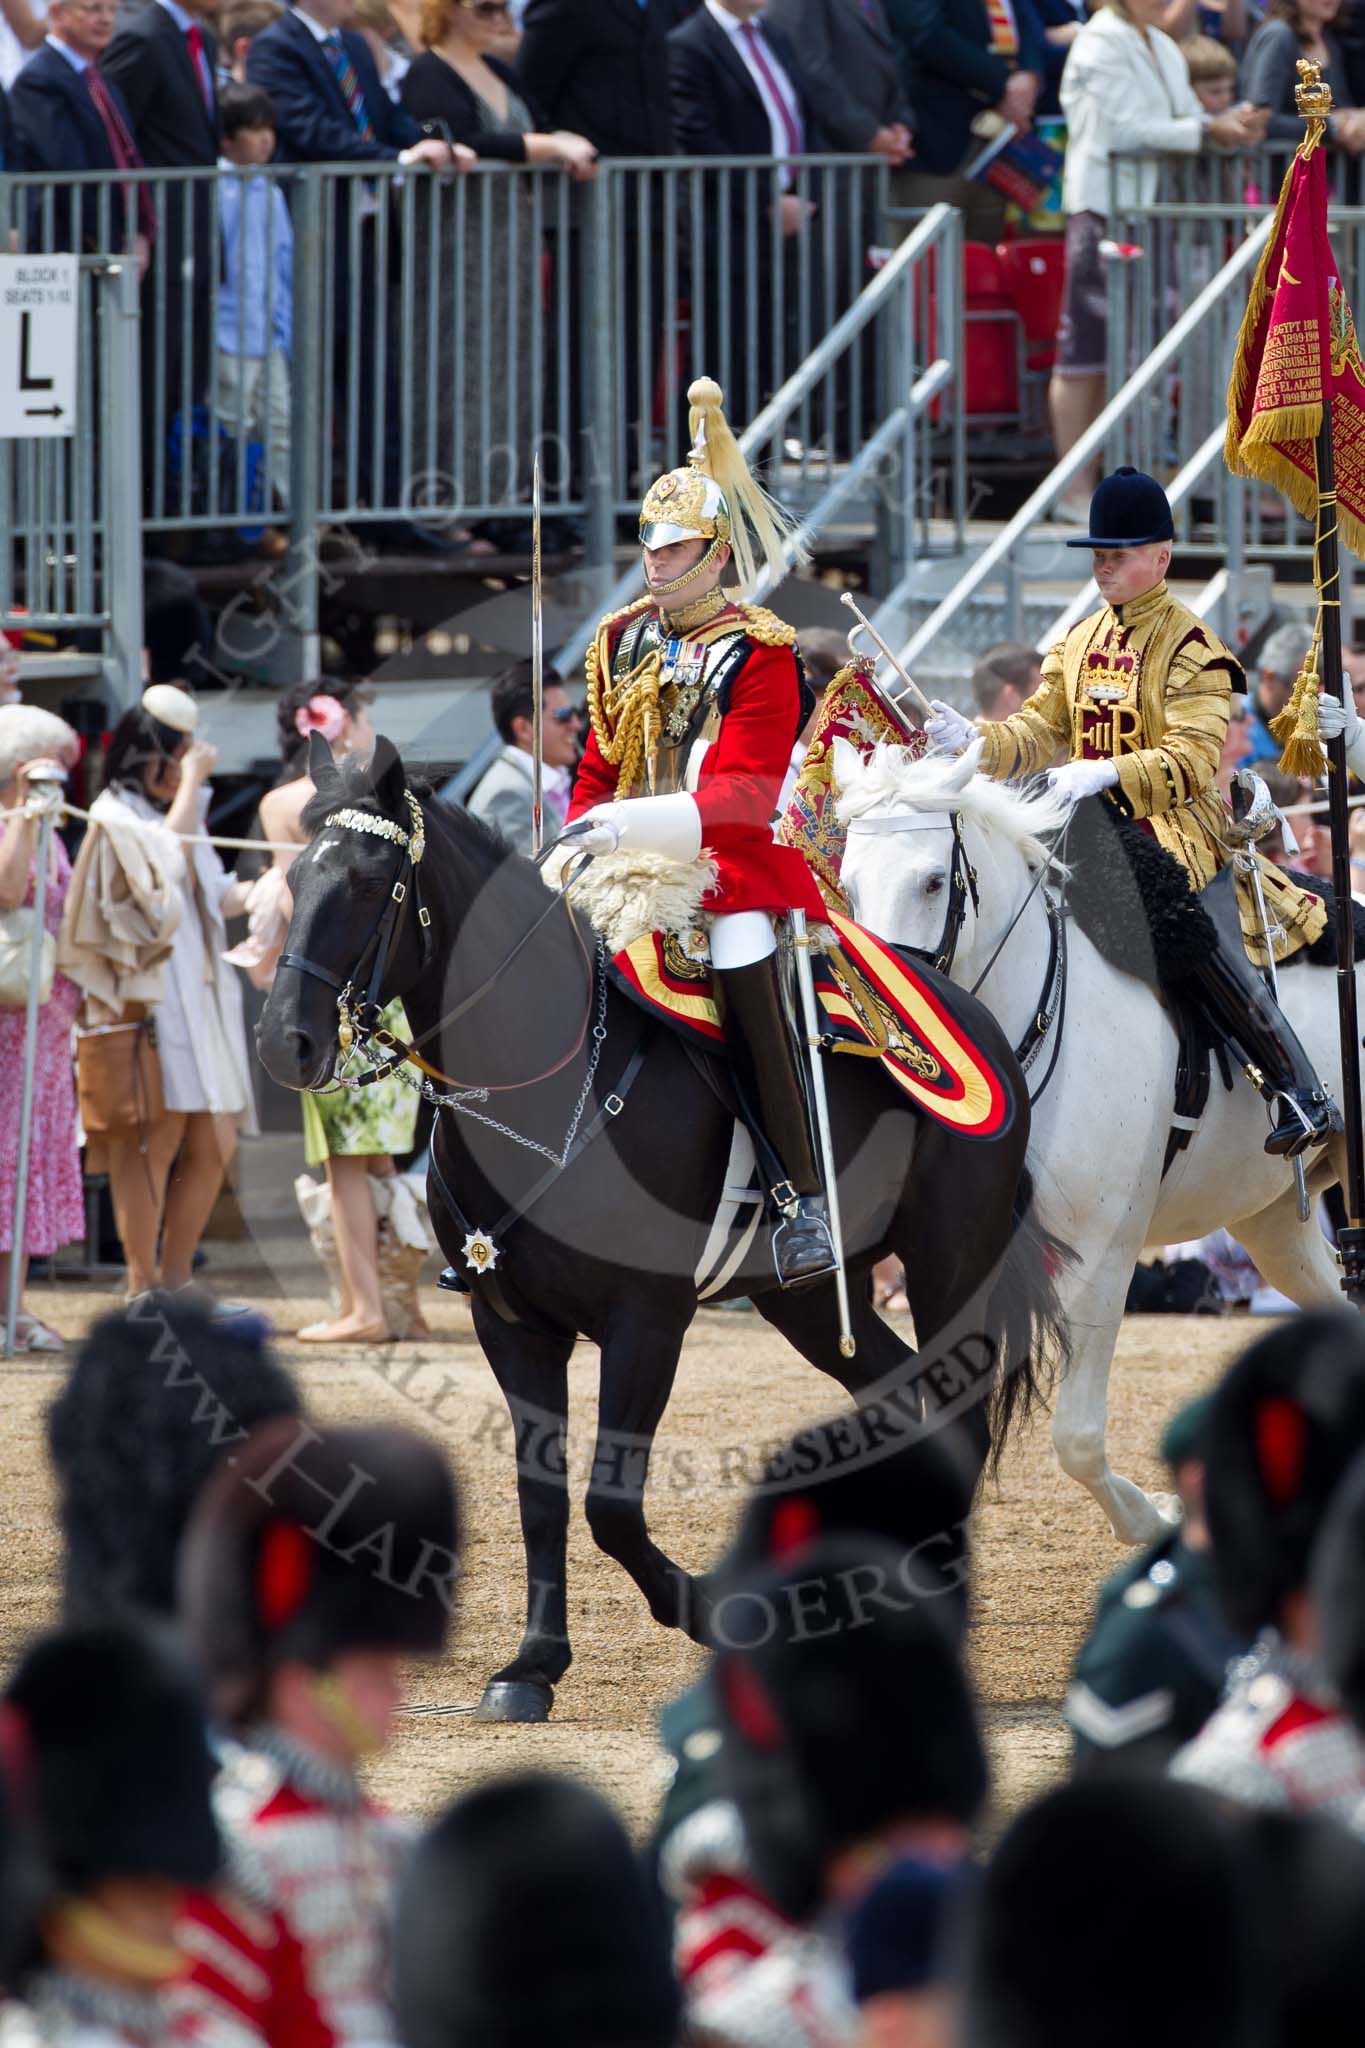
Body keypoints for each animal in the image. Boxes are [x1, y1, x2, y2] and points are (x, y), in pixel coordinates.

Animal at [255, 737, 1064, 1712]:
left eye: (371, 883)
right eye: (295, 875)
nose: (283, 1043)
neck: (547, 1079)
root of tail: (974, 1017)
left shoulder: (646, 1320)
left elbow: (609, 1503)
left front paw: (714, 1613)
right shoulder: (509, 1323)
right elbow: (541, 1496)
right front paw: (531, 1666)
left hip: (949, 1262)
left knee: (962, 1418)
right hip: (804, 1302)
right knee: (904, 1403)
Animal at [839, 745, 1358, 1540]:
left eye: (931, 881)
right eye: (846, 886)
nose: (894, 1036)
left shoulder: (1104, 1248)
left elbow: (1075, 1437)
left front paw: (1155, 1518)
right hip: (1273, 1226)